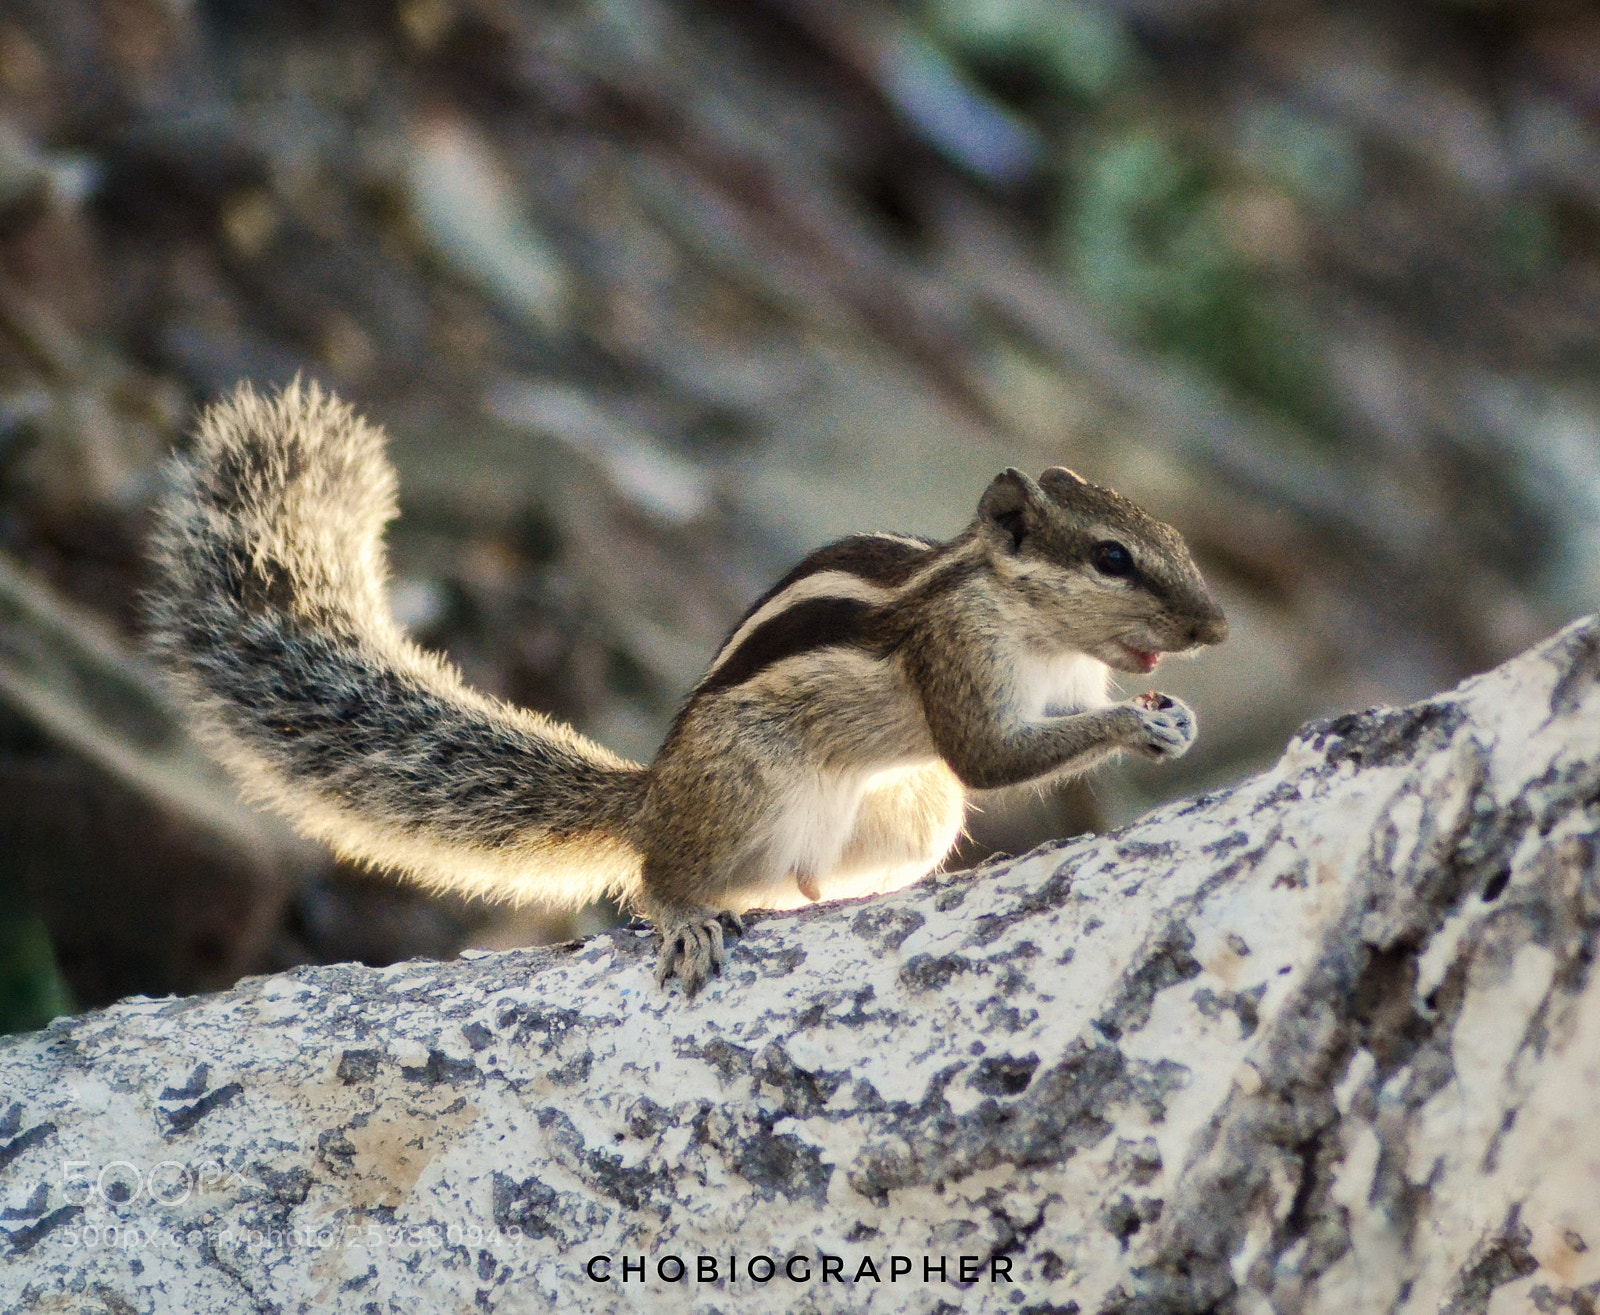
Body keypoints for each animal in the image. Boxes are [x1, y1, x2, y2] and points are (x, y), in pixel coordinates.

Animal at [146, 381, 1228, 994]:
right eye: (1113, 558)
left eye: (1177, 541)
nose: (1214, 630)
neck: (1031, 622)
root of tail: (654, 791)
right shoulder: (957, 656)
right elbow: (990, 754)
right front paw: (1137, 728)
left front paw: (1171, 718)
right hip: (747, 780)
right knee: (653, 878)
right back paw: (684, 915)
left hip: (907, 820)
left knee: (801, 880)